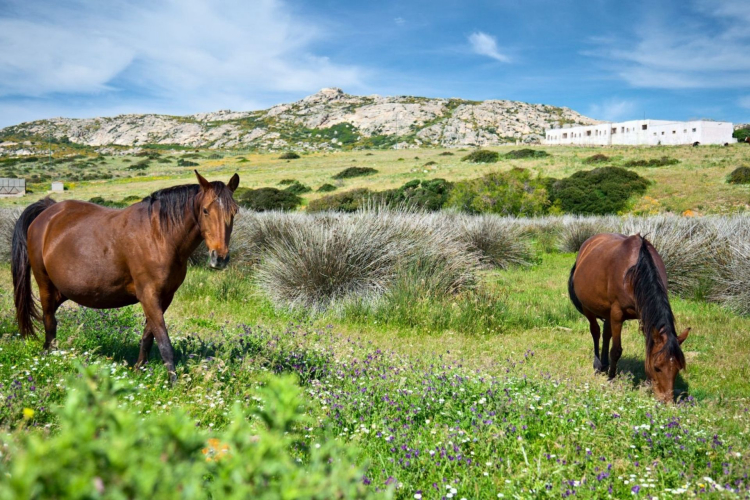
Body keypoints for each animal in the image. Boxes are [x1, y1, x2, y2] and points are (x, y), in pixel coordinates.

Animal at [11, 171, 240, 383]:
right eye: (205, 210)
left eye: (234, 211)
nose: (219, 258)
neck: (159, 236)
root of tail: (48, 212)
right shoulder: (148, 296)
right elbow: (164, 342)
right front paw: (174, 382)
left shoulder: (164, 297)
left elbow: (148, 336)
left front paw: (139, 370)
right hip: (45, 284)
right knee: (49, 320)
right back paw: (50, 358)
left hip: (62, 291)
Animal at [568, 233, 690, 402]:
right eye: (657, 367)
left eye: (678, 368)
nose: (666, 401)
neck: (635, 272)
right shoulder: (617, 314)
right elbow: (616, 350)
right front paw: (611, 378)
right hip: (589, 309)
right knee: (596, 332)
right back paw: (598, 365)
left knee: (606, 333)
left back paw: (604, 364)